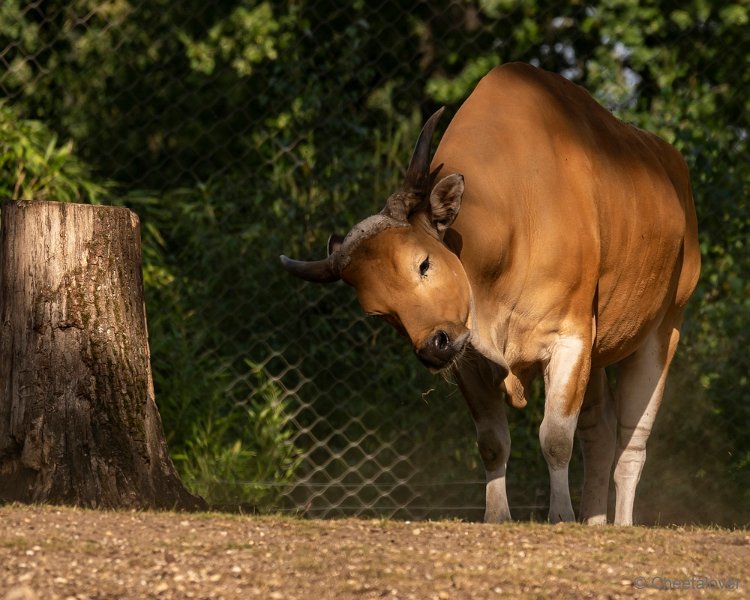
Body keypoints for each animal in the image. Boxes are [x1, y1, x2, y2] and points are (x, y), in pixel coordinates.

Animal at [280, 63, 704, 524]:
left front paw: (560, 515)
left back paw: (622, 521)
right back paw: (595, 521)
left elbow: (556, 437)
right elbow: (492, 442)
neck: (515, 227)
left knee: (632, 441)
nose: (433, 347)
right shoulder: (470, 354)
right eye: (380, 312)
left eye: (423, 263)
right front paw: (498, 515)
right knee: (601, 432)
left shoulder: (570, 338)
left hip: (663, 331)